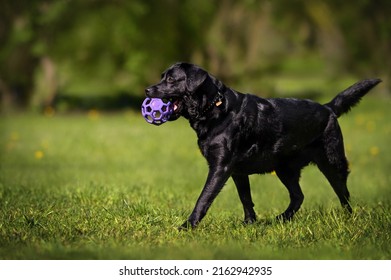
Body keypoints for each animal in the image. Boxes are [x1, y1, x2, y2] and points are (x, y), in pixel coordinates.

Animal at [145, 62, 382, 229]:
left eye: (171, 79)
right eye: (162, 77)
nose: (147, 90)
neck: (216, 108)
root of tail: (328, 108)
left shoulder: (220, 167)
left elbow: (204, 198)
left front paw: (187, 226)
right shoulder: (237, 171)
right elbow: (246, 199)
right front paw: (250, 224)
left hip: (332, 162)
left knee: (343, 193)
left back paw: (348, 219)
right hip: (285, 168)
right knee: (298, 196)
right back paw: (280, 219)